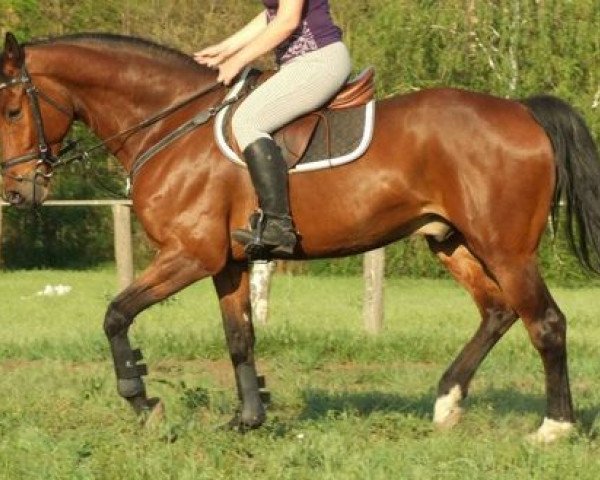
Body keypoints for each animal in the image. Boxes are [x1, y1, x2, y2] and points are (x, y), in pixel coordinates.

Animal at [1, 31, 600, 442]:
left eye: (10, 110)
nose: (16, 192)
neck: (169, 127)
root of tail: (522, 110)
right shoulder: (228, 264)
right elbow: (239, 338)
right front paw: (248, 418)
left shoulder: (189, 256)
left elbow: (116, 314)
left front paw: (143, 402)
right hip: (450, 240)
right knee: (498, 311)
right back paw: (447, 403)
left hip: (505, 246)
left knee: (545, 322)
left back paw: (554, 429)